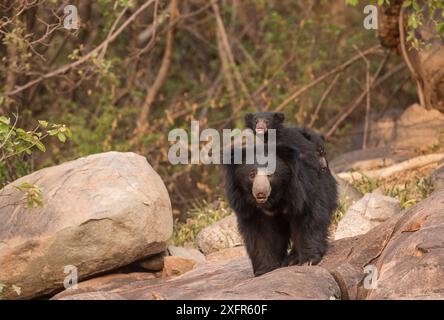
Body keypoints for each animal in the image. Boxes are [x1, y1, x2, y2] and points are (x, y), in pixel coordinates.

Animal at [224, 145, 338, 278]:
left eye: (270, 174)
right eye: (252, 174)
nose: (260, 193)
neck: (273, 199)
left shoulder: (301, 189)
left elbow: (308, 218)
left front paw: (308, 260)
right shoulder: (250, 208)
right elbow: (260, 234)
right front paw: (265, 269)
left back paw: (292, 259)